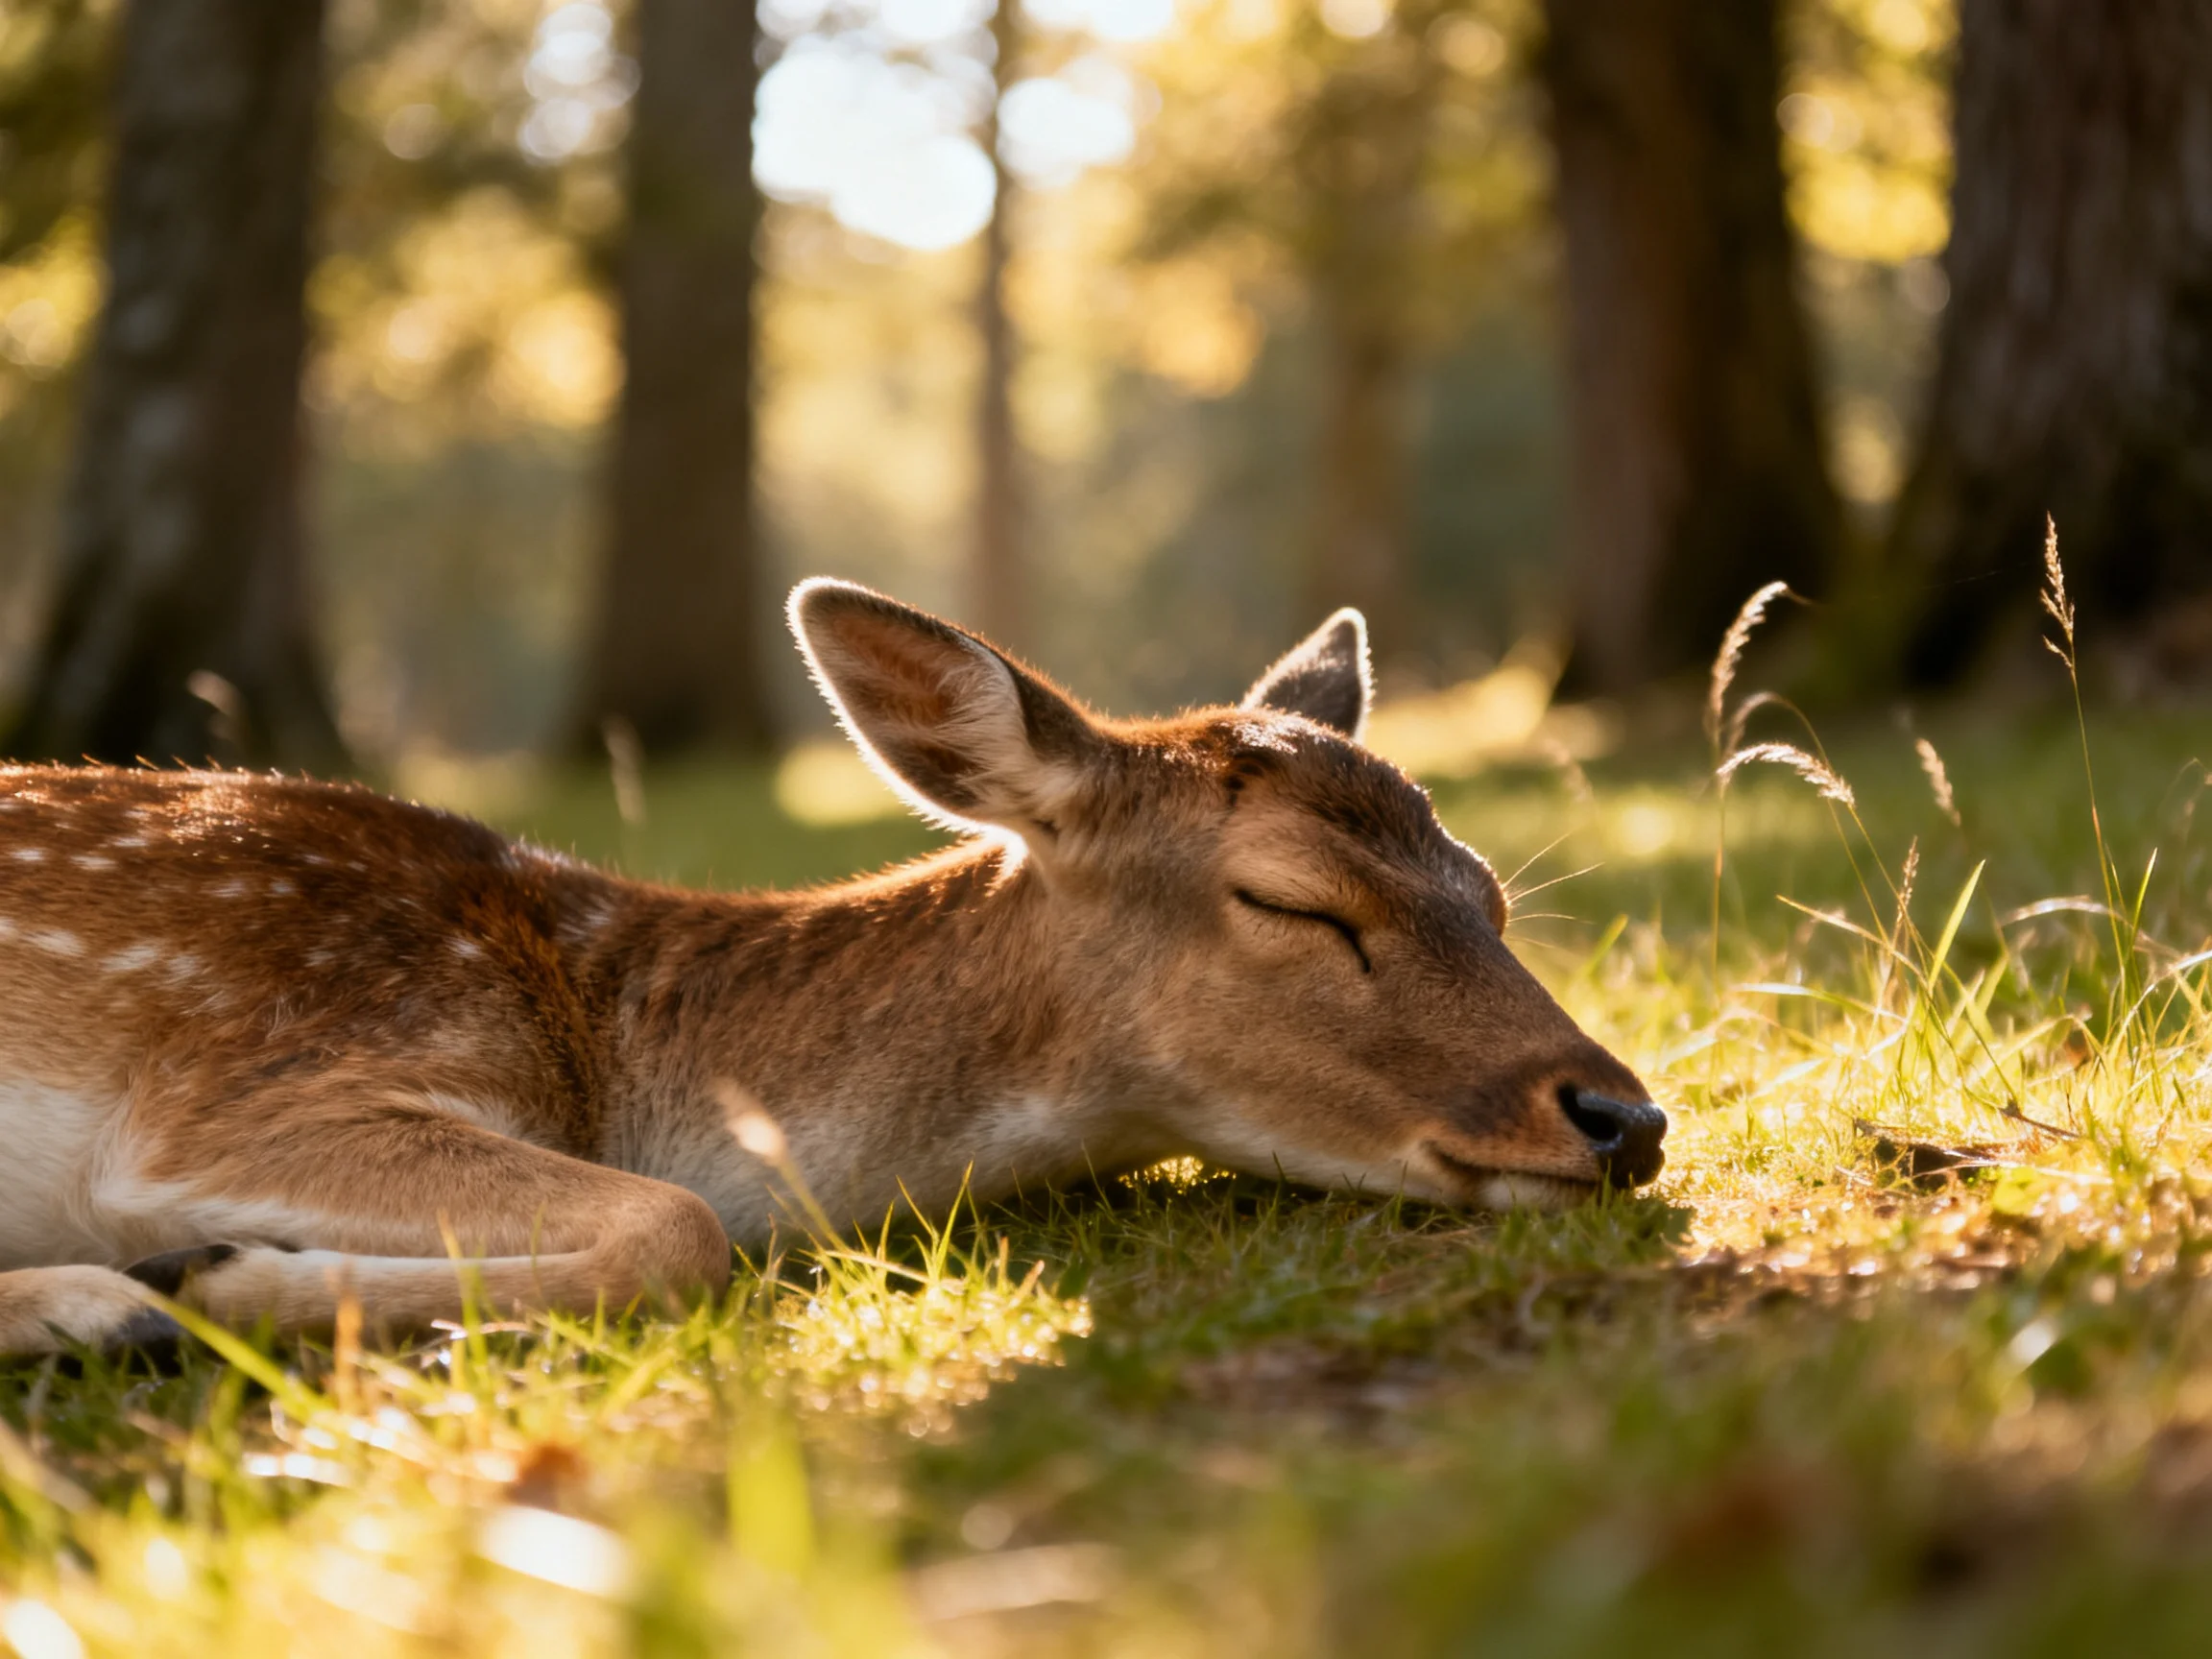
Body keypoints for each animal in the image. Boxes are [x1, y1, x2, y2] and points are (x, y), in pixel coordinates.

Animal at [0, 581, 1665, 1358]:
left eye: (1490, 893)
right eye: (1295, 903)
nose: (1626, 1119)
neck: (610, 1035)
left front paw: (191, 1281)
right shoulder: (242, 1084)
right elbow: (680, 1228)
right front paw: (209, 1275)